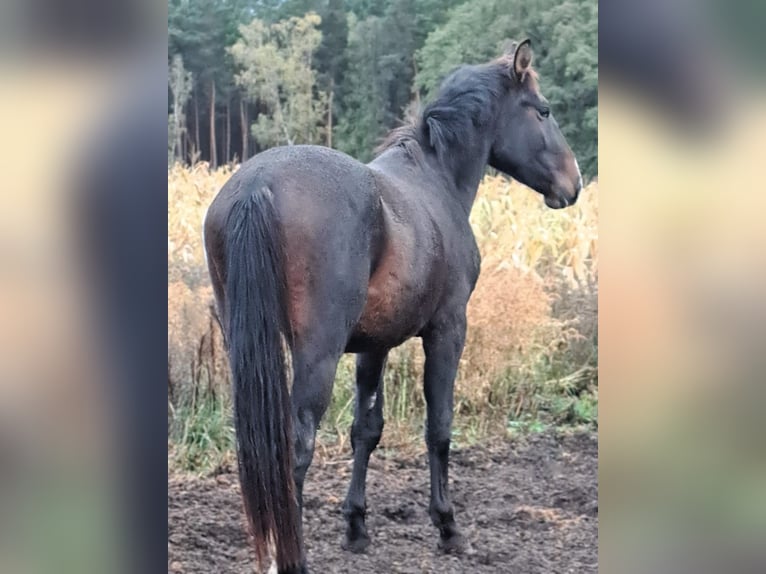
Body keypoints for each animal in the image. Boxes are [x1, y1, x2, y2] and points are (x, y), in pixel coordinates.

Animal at [203, 39, 582, 573]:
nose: (574, 183)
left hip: (246, 346)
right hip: (316, 353)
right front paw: (447, 527)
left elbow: (366, 429)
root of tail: (259, 184)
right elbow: (439, 427)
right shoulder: (448, 330)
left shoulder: (373, 345)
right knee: (296, 446)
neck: (436, 180)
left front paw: (356, 526)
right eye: (542, 110)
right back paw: (292, 557)